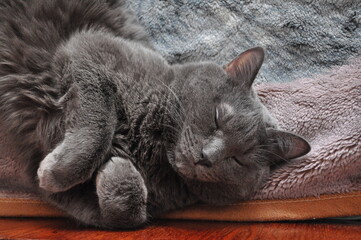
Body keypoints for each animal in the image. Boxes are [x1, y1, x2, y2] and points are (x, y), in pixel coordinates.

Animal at [0, 0, 310, 229]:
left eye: (239, 159)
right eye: (217, 117)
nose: (207, 157)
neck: (154, 148)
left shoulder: (82, 201)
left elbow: (128, 217)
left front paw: (116, 171)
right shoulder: (90, 50)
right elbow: (98, 126)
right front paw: (58, 170)